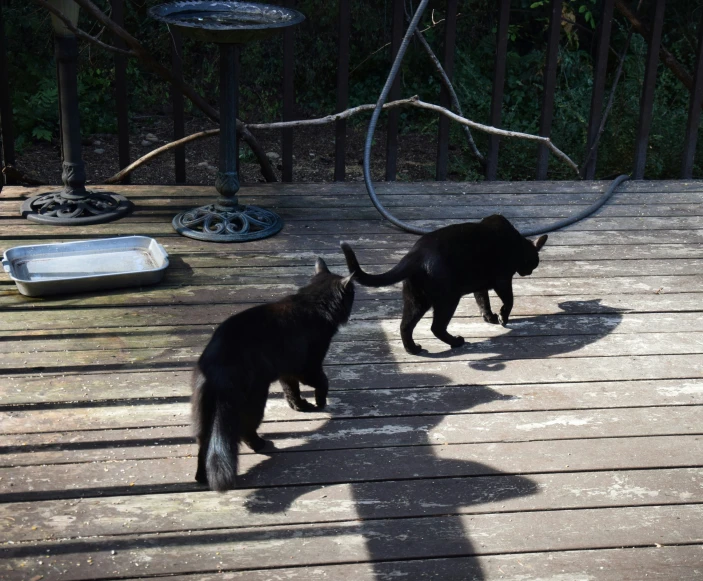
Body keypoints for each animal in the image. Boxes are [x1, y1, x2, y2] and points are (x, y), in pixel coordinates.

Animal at [192, 258, 354, 490]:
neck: (311, 302)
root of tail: (218, 363)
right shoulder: (307, 365)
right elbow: (322, 381)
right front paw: (320, 402)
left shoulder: (287, 369)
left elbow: (291, 390)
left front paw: (300, 406)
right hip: (255, 397)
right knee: (245, 429)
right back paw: (260, 444)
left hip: (205, 410)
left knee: (203, 443)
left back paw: (201, 477)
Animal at [344, 214, 548, 354]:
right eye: (534, 263)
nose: (529, 272)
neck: (517, 243)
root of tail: (415, 254)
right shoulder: (503, 280)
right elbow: (509, 301)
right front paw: (502, 318)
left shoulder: (481, 285)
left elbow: (483, 301)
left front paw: (489, 317)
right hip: (448, 299)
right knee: (436, 327)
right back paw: (456, 342)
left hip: (416, 300)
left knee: (405, 326)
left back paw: (414, 349)